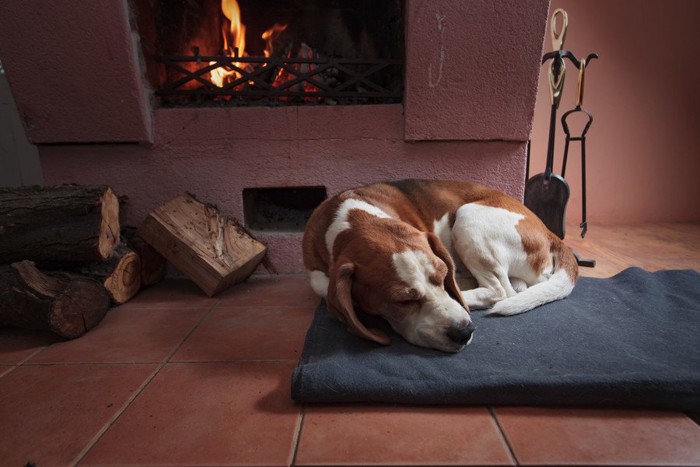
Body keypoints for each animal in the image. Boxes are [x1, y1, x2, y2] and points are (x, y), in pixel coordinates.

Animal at [302, 181, 580, 352]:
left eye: (442, 275)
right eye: (403, 301)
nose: (464, 332)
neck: (352, 217)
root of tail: (548, 230)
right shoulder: (318, 278)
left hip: (468, 217)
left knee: (501, 291)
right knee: (518, 287)